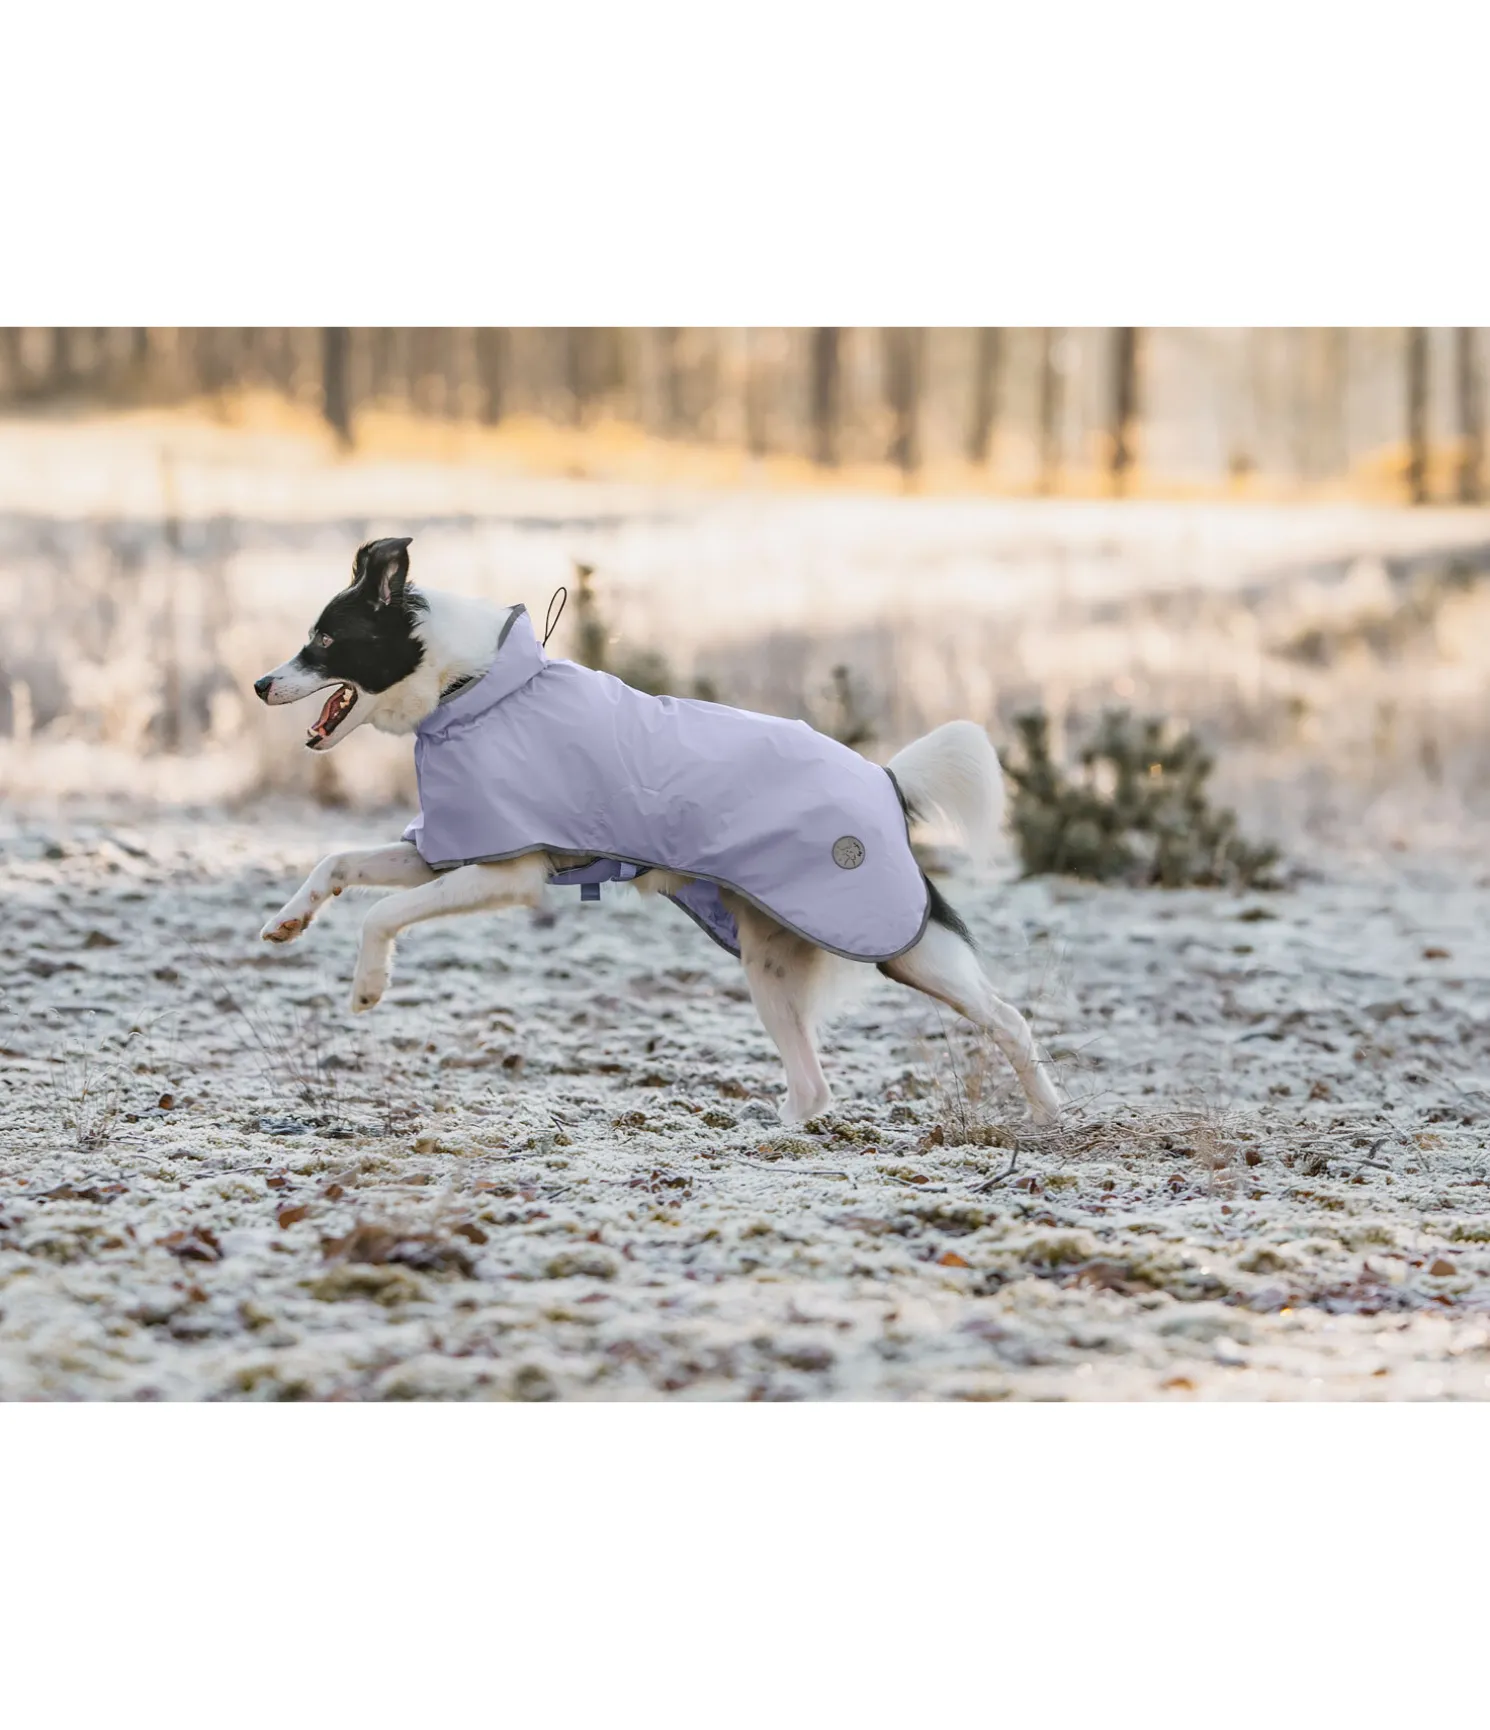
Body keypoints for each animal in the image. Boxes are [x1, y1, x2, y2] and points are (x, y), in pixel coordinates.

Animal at [254, 537, 1061, 1128]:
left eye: (325, 640)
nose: (260, 685)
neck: (472, 688)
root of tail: (885, 780)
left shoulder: (506, 869)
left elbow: (384, 913)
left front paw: (368, 987)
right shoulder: (442, 850)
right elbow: (337, 863)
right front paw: (288, 921)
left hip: (900, 942)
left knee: (1009, 1018)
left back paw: (1048, 1115)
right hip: (769, 962)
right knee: (814, 1085)